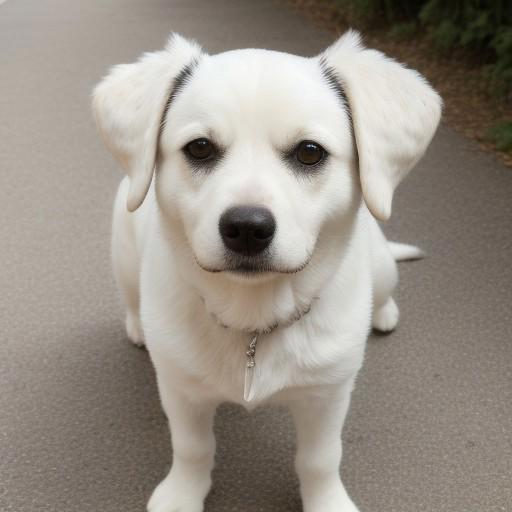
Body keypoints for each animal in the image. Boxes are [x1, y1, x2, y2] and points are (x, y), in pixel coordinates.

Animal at [94, 33, 442, 512]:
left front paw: (326, 501)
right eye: (199, 147)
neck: (253, 321)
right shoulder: (182, 391)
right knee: (130, 296)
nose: (246, 228)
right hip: (124, 255)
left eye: (310, 151)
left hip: (382, 265)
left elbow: (320, 459)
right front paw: (182, 493)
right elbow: (192, 447)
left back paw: (384, 313)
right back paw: (137, 325)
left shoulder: (328, 394)